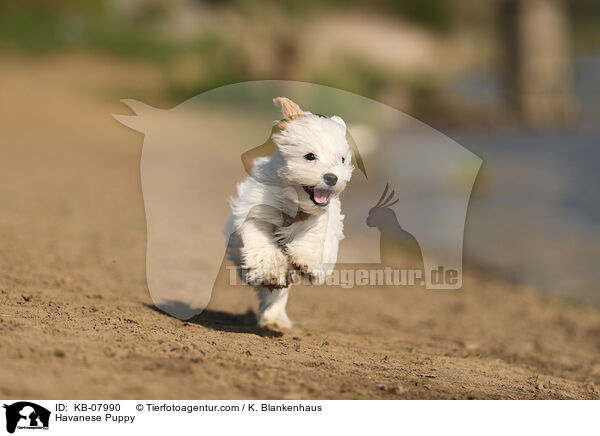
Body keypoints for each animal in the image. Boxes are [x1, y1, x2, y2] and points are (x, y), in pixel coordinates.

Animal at [227, 97, 354, 328]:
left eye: (342, 159)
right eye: (310, 156)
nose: (332, 178)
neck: (295, 203)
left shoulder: (323, 221)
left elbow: (315, 237)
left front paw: (306, 260)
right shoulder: (257, 212)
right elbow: (261, 241)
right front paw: (271, 270)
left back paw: (274, 316)